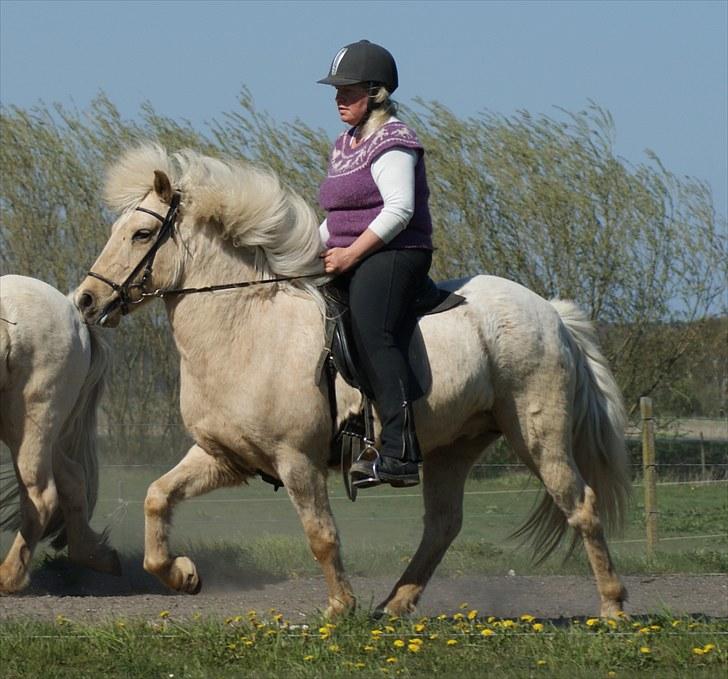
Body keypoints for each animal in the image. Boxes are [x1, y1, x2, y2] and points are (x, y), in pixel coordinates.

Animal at [0, 274, 119, 592]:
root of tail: (72, 308)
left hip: (32, 419)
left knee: (40, 496)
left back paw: (8, 578)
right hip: (28, 429)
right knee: (73, 479)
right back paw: (96, 556)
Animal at [75, 146, 632, 620]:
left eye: (140, 235)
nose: (84, 300)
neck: (246, 328)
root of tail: (551, 313)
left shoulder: (296, 460)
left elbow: (321, 534)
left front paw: (340, 608)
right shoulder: (224, 456)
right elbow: (156, 496)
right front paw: (183, 576)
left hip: (538, 436)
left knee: (580, 506)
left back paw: (612, 607)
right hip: (455, 445)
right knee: (443, 525)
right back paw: (395, 604)